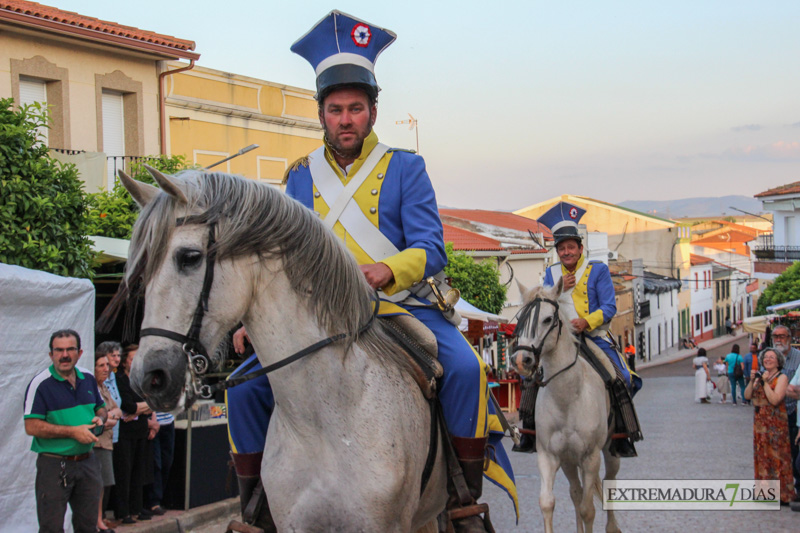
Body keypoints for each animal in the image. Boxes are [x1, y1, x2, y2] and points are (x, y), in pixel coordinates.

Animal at [512, 280, 624, 528]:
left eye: (547, 319)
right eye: (520, 320)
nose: (521, 360)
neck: (566, 398)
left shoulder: (590, 457)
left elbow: (588, 510)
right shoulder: (549, 456)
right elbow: (547, 503)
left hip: (609, 451)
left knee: (608, 484)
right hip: (568, 461)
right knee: (576, 491)